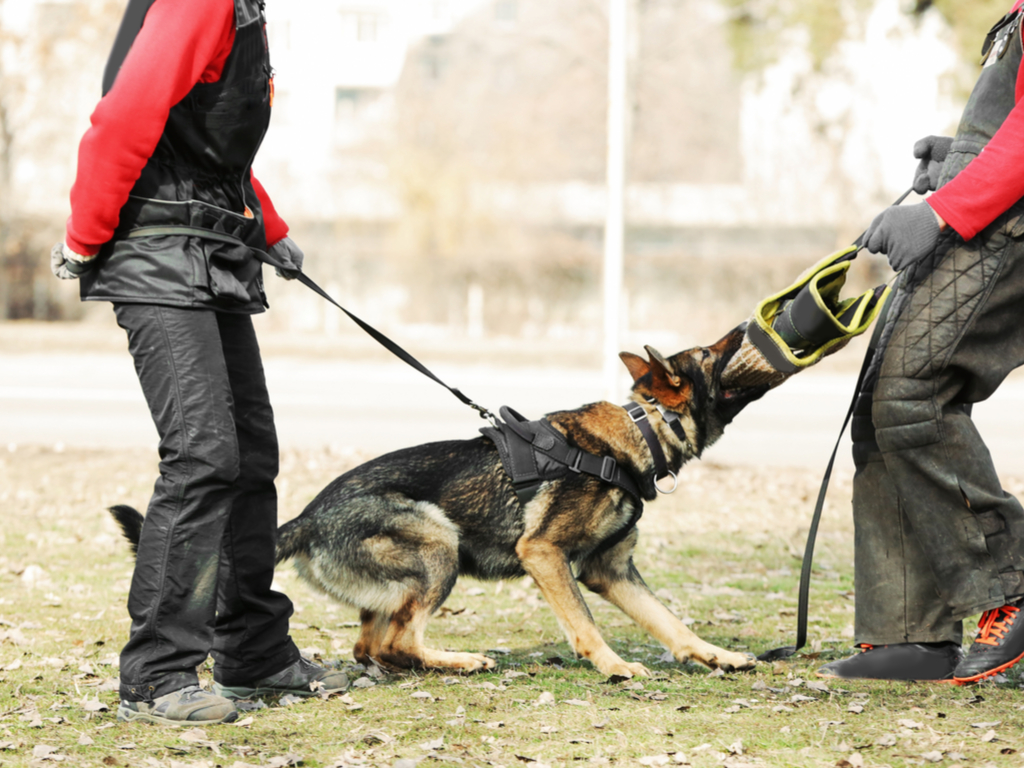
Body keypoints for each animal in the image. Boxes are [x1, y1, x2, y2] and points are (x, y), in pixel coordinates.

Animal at [112, 325, 770, 679]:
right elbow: (584, 623)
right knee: (399, 640)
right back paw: (462, 660)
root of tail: (309, 516)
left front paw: (717, 656)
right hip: (438, 543)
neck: (642, 429)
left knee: (374, 645)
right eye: (710, 354)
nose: (747, 328)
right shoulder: (545, 555)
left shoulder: (611, 571)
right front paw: (612, 666)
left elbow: (671, 621)